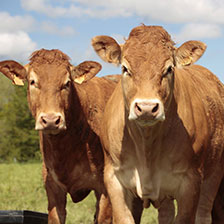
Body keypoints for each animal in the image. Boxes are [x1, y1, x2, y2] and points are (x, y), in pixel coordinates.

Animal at [91, 25, 224, 224]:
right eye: (125, 68)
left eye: (169, 69)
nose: (146, 108)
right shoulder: (114, 179)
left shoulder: (191, 183)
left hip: (213, 176)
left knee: (203, 213)